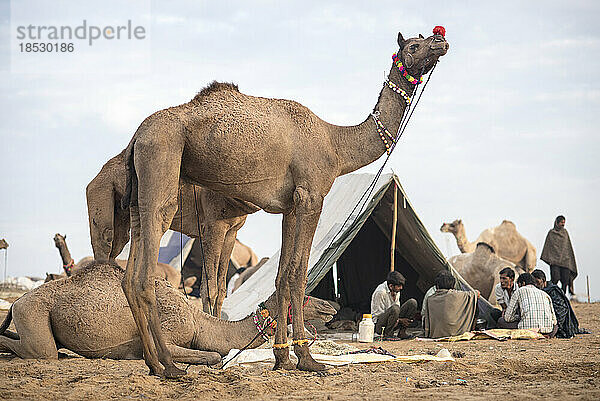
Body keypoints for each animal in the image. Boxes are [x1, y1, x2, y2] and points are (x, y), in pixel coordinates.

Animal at [0, 260, 336, 360]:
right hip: (34, 314)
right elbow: (214, 357)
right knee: (43, 351)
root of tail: (16, 301)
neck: (200, 321)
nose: (331, 308)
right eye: (303, 296)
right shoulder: (170, 333)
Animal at [86, 147, 258, 316]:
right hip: (101, 195)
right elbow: (210, 288)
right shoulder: (213, 227)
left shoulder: (231, 232)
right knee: (104, 244)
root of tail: (95, 178)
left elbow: (221, 288)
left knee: (116, 249)